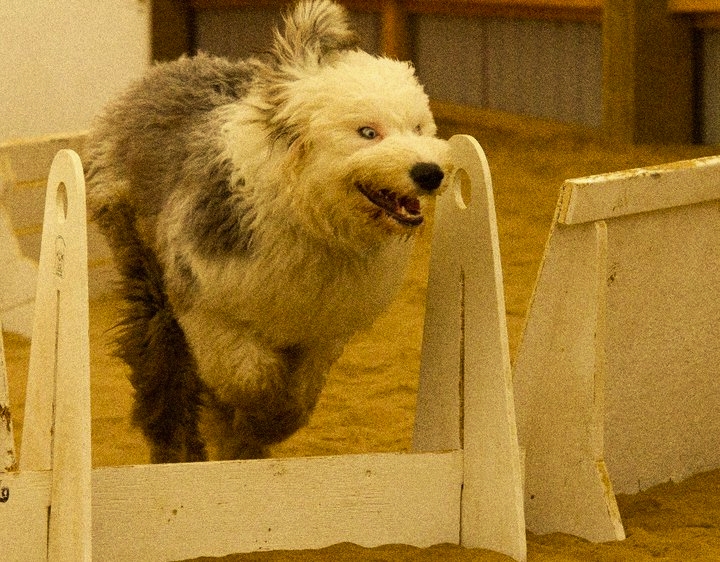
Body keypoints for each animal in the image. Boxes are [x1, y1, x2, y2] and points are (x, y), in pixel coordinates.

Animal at [83, 0, 444, 462]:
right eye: (367, 132)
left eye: (418, 128)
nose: (429, 172)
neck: (306, 213)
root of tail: (162, 69)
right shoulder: (208, 308)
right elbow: (251, 380)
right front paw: (250, 424)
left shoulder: (321, 330)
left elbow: (297, 400)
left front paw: (257, 434)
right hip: (147, 272)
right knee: (162, 366)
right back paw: (176, 447)